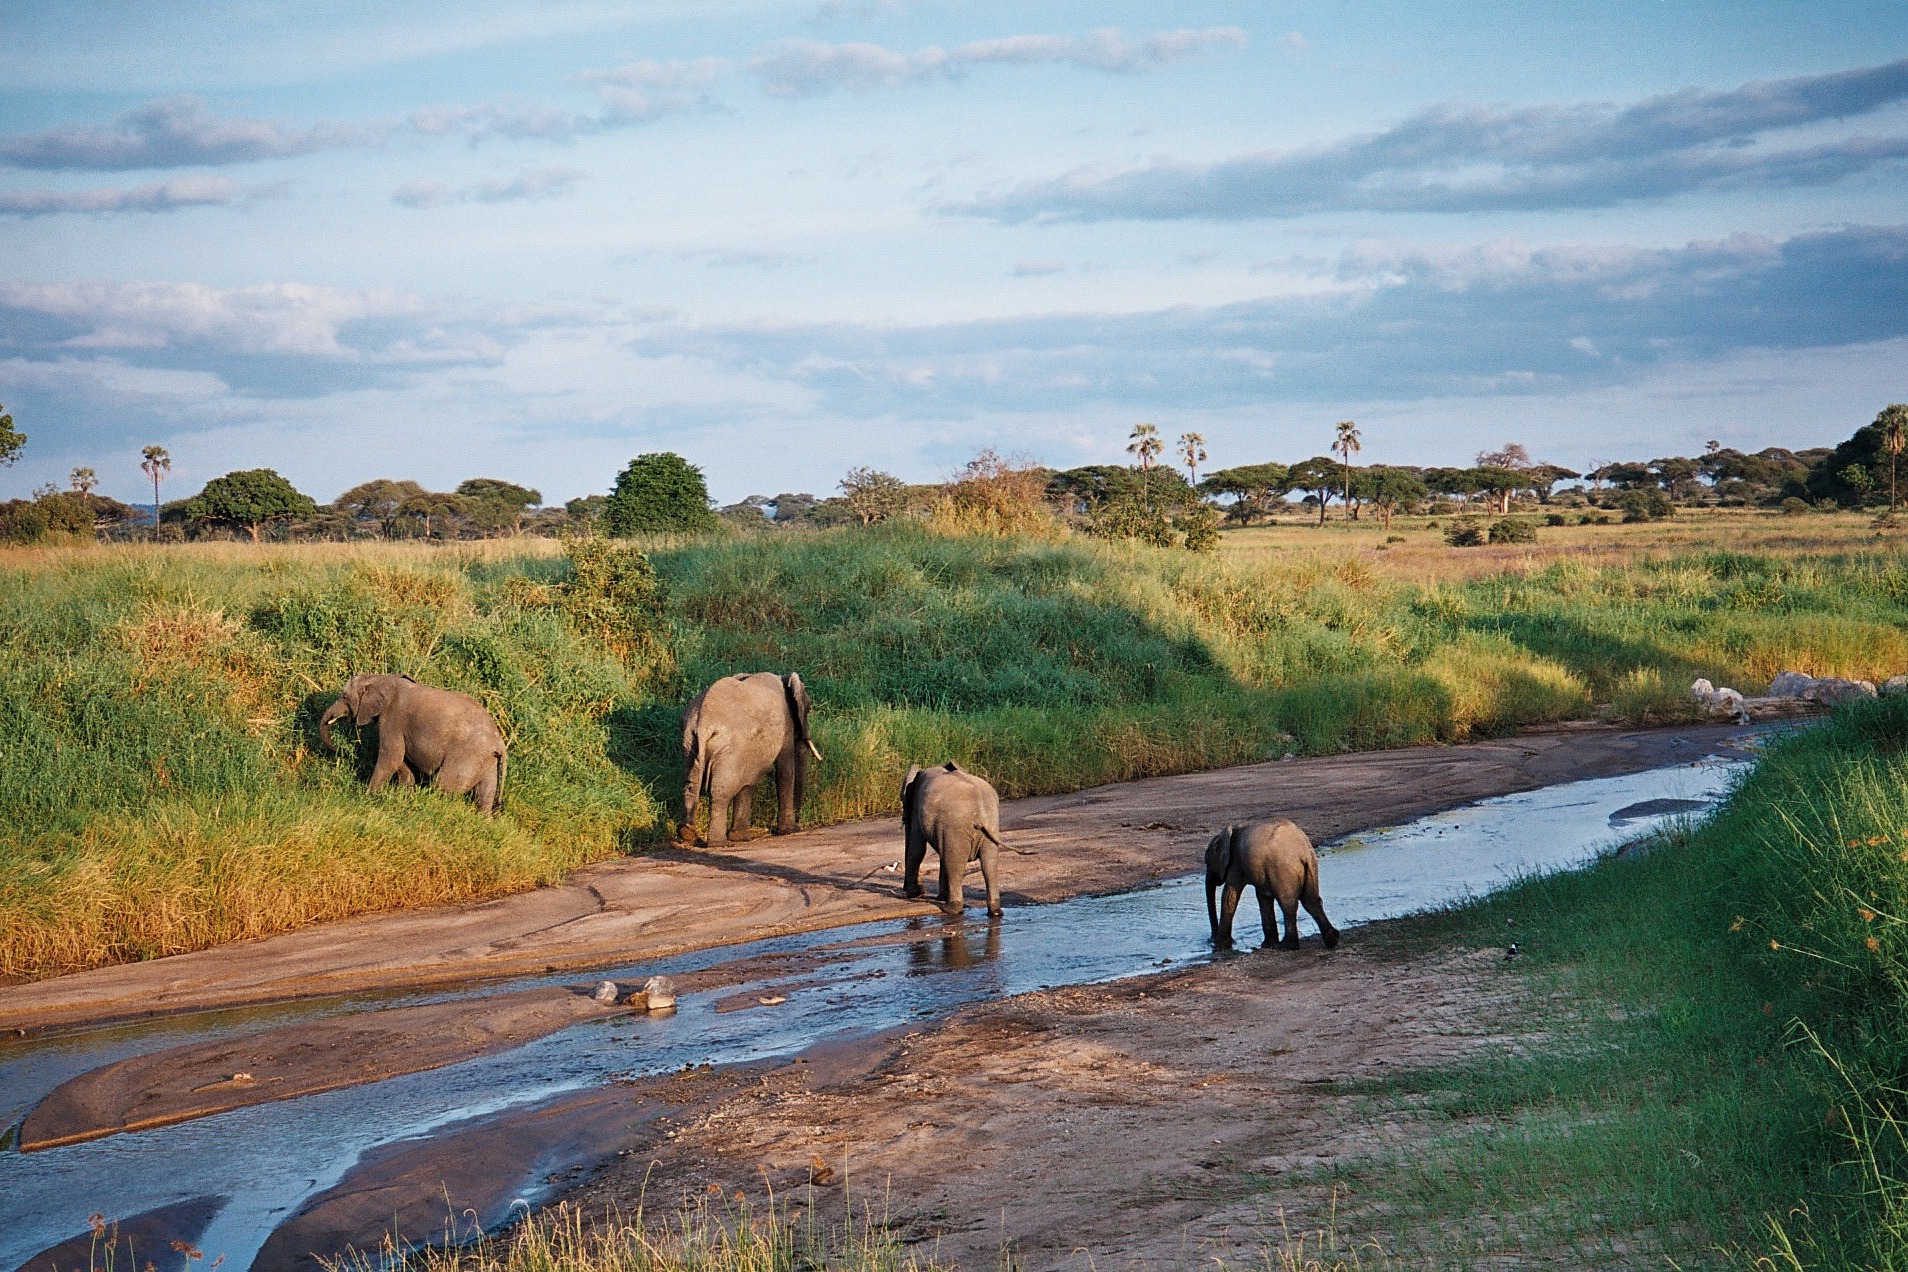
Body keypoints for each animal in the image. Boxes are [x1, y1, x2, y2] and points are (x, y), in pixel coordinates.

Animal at [316, 675, 507, 816]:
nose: (339, 749)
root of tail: (499, 743)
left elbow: (392, 756)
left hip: (467, 756)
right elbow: (401, 759)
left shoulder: (393, 718)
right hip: (486, 760)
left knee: (443, 786)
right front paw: (405, 794)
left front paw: (367, 796)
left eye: (344, 697)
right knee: (485, 794)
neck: (382, 679)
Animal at [679, 671, 820, 850]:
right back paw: (719, 844)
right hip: (729, 745)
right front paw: (789, 831)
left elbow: (747, 782)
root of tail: (703, 722)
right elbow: (785, 771)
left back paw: (687, 833)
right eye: (809, 708)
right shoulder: (786, 725)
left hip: (690, 741)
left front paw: (741, 838)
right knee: (721, 790)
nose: (799, 823)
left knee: (691, 784)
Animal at [900, 762, 1007, 919]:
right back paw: (995, 913)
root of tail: (979, 810)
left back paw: (950, 909)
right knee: (989, 864)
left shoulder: (917, 808)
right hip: (991, 824)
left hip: (957, 825)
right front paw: (933, 896)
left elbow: (917, 848)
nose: (921, 891)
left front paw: (913, 894)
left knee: (955, 864)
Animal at [1205, 820, 1343, 949]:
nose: (1210, 940)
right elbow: (1263, 897)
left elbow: (1229, 896)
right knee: (1311, 900)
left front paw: (1220, 948)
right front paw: (1268, 945)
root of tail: (1301, 851)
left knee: (1288, 903)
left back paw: (1287, 946)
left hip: (1282, 869)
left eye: (1207, 862)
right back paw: (1332, 938)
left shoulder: (1236, 864)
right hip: (1311, 865)